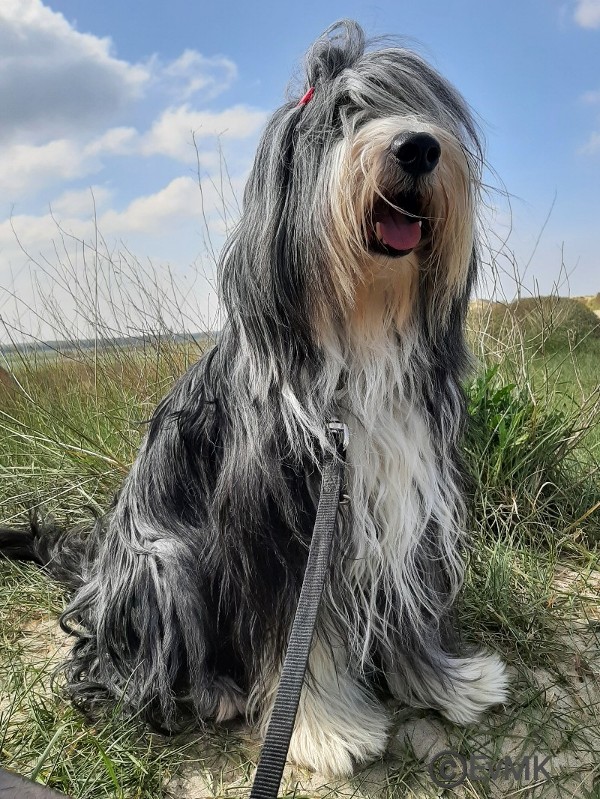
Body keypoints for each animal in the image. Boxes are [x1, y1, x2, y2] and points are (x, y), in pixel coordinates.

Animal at [0, 18, 508, 780]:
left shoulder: (406, 498)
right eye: (337, 121)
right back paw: (214, 691)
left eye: (414, 108)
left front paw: (449, 681)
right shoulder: (279, 523)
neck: (358, 337)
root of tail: (95, 569)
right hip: (163, 558)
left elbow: (410, 612)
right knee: (121, 660)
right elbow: (302, 643)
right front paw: (324, 729)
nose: (418, 147)